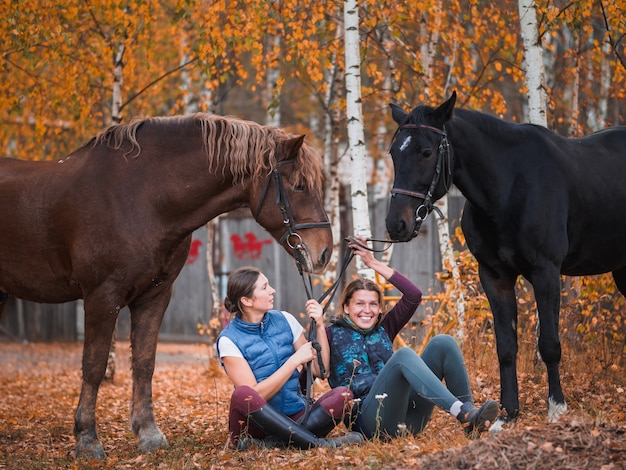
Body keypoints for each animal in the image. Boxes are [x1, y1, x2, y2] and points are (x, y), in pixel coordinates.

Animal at [0, 112, 332, 458]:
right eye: (298, 185)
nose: (325, 252)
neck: (141, 197)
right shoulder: (101, 297)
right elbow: (94, 365)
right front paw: (87, 439)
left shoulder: (154, 296)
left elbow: (144, 363)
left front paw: (148, 434)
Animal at [382, 91, 624, 426]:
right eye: (394, 153)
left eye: (427, 152)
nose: (397, 224)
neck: (509, 189)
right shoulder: (495, 277)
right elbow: (506, 346)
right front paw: (507, 414)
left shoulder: (546, 272)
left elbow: (549, 344)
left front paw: (556, 408)